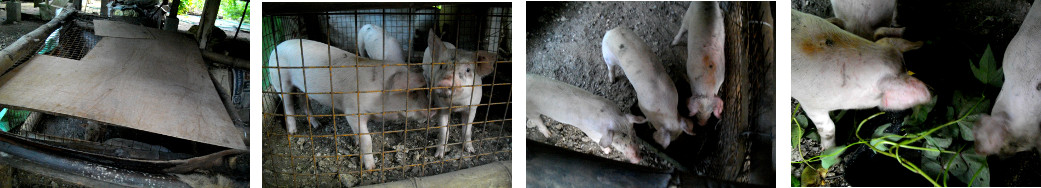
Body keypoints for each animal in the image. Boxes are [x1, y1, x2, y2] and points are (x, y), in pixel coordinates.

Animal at [270, 38, 433, 169]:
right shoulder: (353, 112)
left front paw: (356, 143)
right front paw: (370, 167)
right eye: (413, 92)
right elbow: (367, 139)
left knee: (304, 102)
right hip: (280, 81)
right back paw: (292, 132)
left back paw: (318, 125)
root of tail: (276, 47)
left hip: (302, 88)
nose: (433, 109)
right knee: (288, 106)